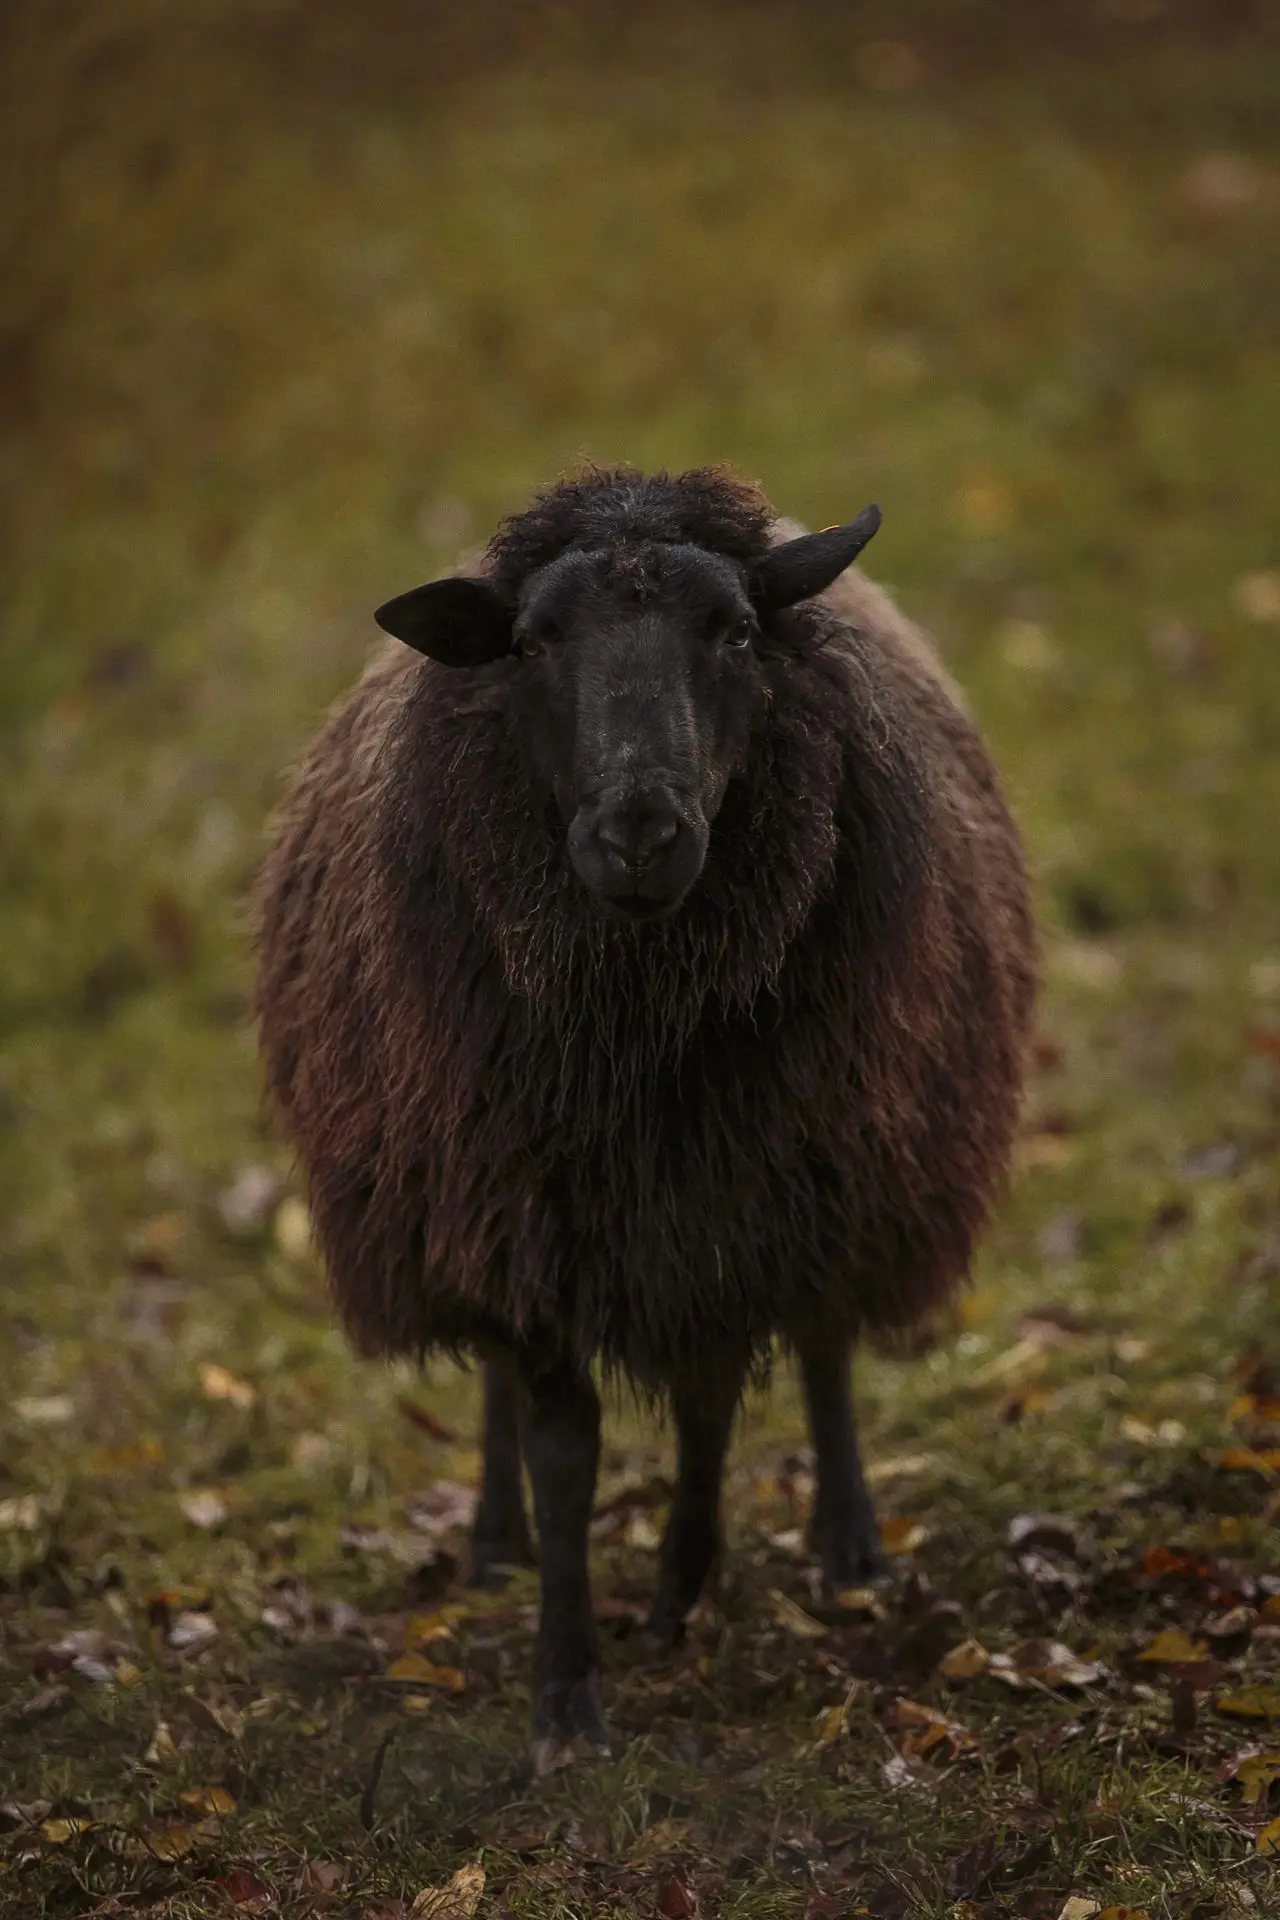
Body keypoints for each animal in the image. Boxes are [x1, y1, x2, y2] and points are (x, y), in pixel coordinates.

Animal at [254, 466, 1035, 1772]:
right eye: (528, 642)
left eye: (734, 630)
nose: (638, 834)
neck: (638, 1036)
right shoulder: (517, 1210)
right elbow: (564, 1451)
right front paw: (565, 1694)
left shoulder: (734, 1203)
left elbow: (713, 1399)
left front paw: (678, 1588)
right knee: (505, 1388)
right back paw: (493, 1544)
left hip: (849, 1166)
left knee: (822, 1343)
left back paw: (845, 1545)